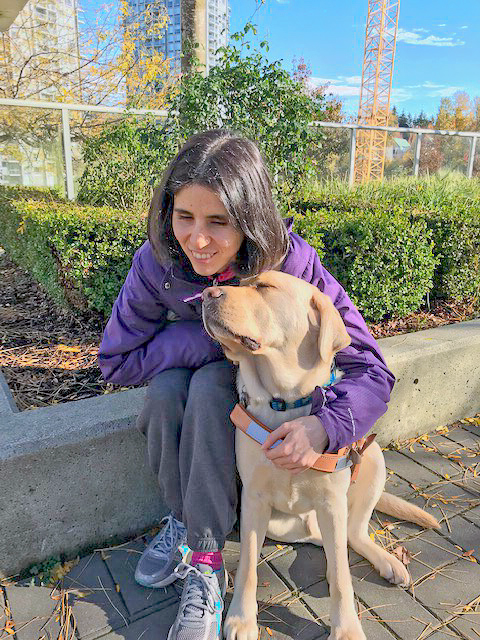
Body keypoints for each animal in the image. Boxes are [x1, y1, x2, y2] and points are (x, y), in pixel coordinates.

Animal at [202, 270, 438, 640]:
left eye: (264, 286)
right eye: (240, 281)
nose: (205, 294)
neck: (286, 402)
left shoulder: (332, 502)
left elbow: (342, 577)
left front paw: (347, 628)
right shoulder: (253, 500)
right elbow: (249, 568)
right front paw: (241, 619)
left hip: (371, 460)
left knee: (350, 537)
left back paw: (387, 561)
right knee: (330, 542)